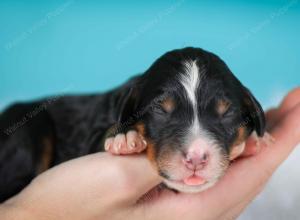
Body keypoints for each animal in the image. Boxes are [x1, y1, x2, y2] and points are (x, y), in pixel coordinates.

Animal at [0, 47, 270, 202]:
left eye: (227, 113)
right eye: (160, 110)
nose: (196, 157)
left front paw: (255, 140)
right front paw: (125, 136)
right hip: (30, 128)